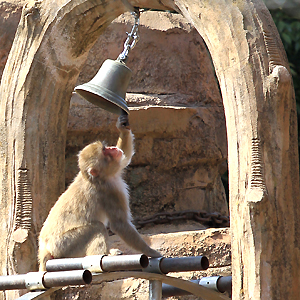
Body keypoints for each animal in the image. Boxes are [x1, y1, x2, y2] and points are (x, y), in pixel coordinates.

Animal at [38, 113, 161, 270]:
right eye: (105, 151)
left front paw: (122, 126)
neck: (98, 178)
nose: (113, 148)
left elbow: (125, 157)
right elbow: (120, 224)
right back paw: (102, 256)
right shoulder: (109, 193)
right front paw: (150, 252)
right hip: (63, 245)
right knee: (97, 227)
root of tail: (44, 248)